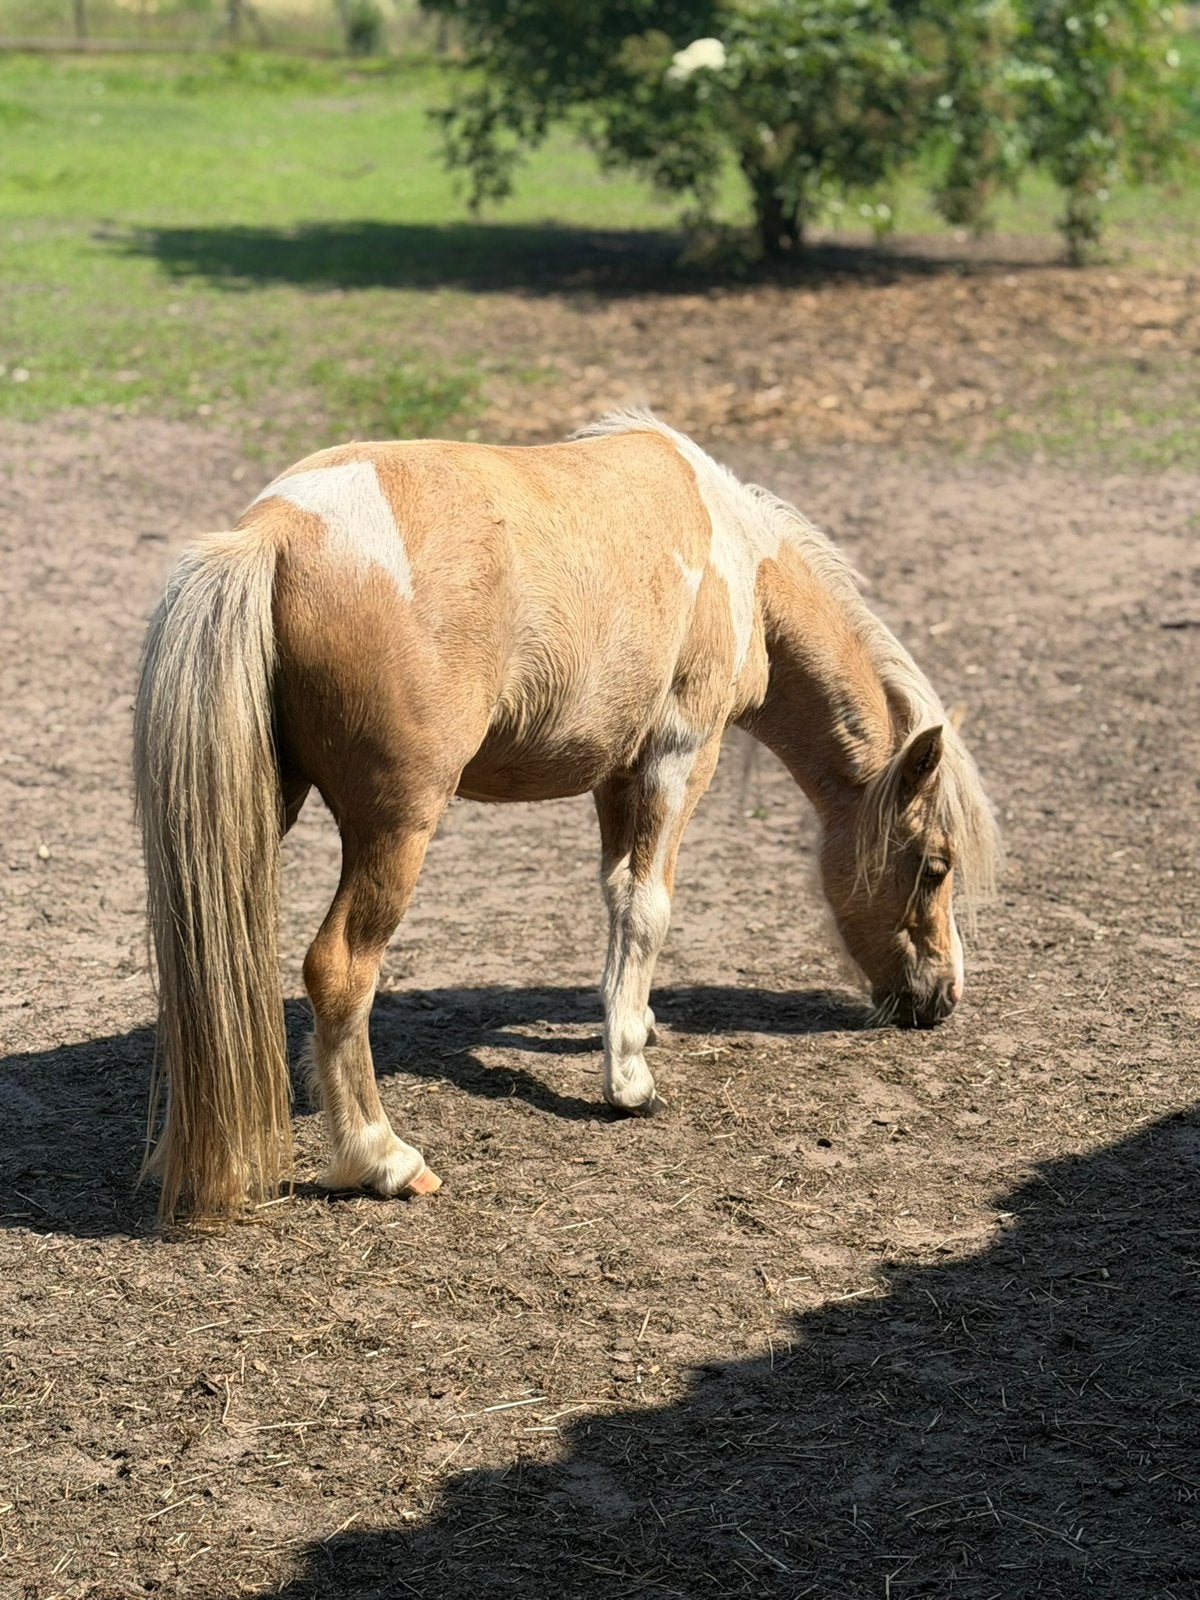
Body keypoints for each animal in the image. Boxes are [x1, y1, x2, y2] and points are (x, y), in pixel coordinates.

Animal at [133, 411, 998, 1223]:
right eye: (935, 867)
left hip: (264, 809)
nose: (943, 997)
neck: (736, 553)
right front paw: (629, 1083)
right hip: (395, 828)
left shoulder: (617, 774)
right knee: (340, 969)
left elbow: (619, 898)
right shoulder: (679, 756)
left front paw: (634, 1023)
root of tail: (278, 532)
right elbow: (649, 908)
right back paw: (384, 1159)